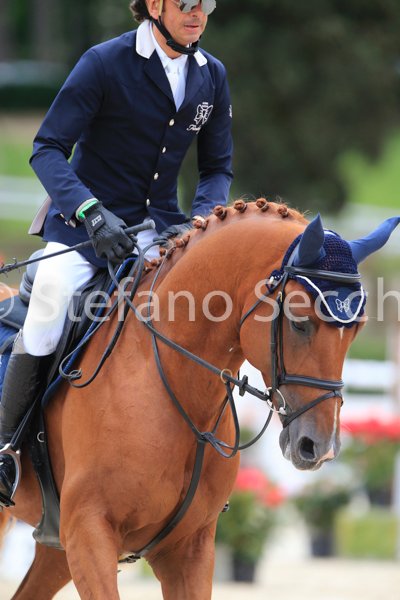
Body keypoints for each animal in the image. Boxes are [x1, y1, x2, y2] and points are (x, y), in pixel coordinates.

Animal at [0, 199, 397, 599]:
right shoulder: (88, 532)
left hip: (55, 548)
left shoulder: (189, 550)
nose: (319, 447)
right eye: (299, 321)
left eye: (357, 329)